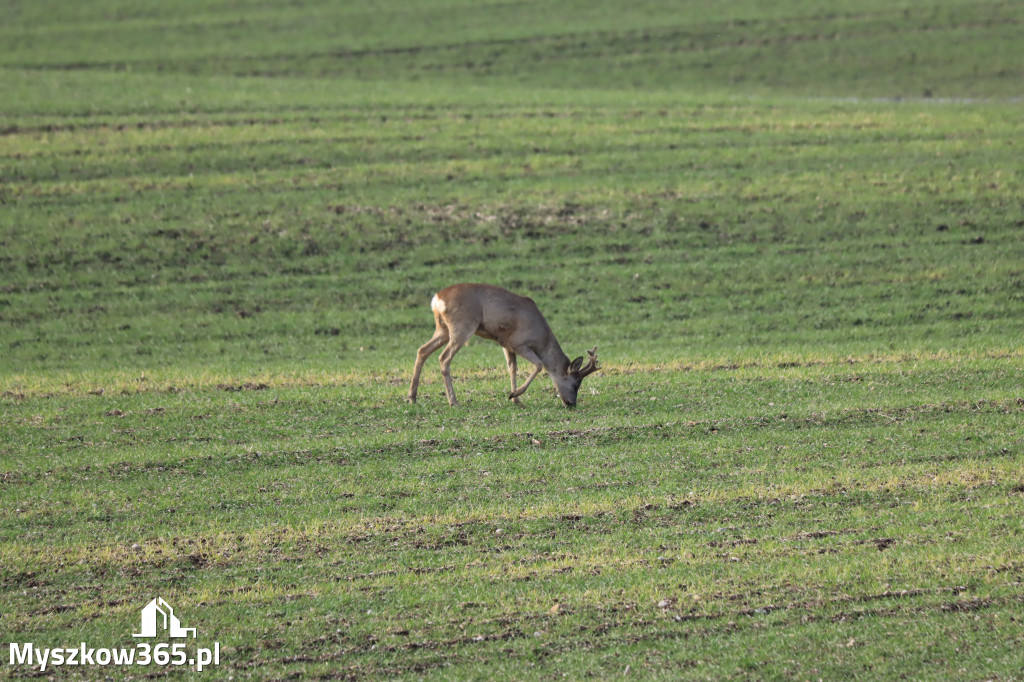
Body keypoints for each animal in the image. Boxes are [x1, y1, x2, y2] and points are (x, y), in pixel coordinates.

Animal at [407, 280, 598, 403]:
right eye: (576, 383)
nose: (571, 404)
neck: (543, 338)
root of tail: (437, 299)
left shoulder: (505, 343)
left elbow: (512, 368)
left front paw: (516, 399)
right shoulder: (518, 342)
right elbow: (538, 364)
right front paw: (514, 395)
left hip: (442, 329)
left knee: (422, 350)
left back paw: (412, 397)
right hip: (461, 326)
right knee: (444, 358)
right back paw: (453, 401)